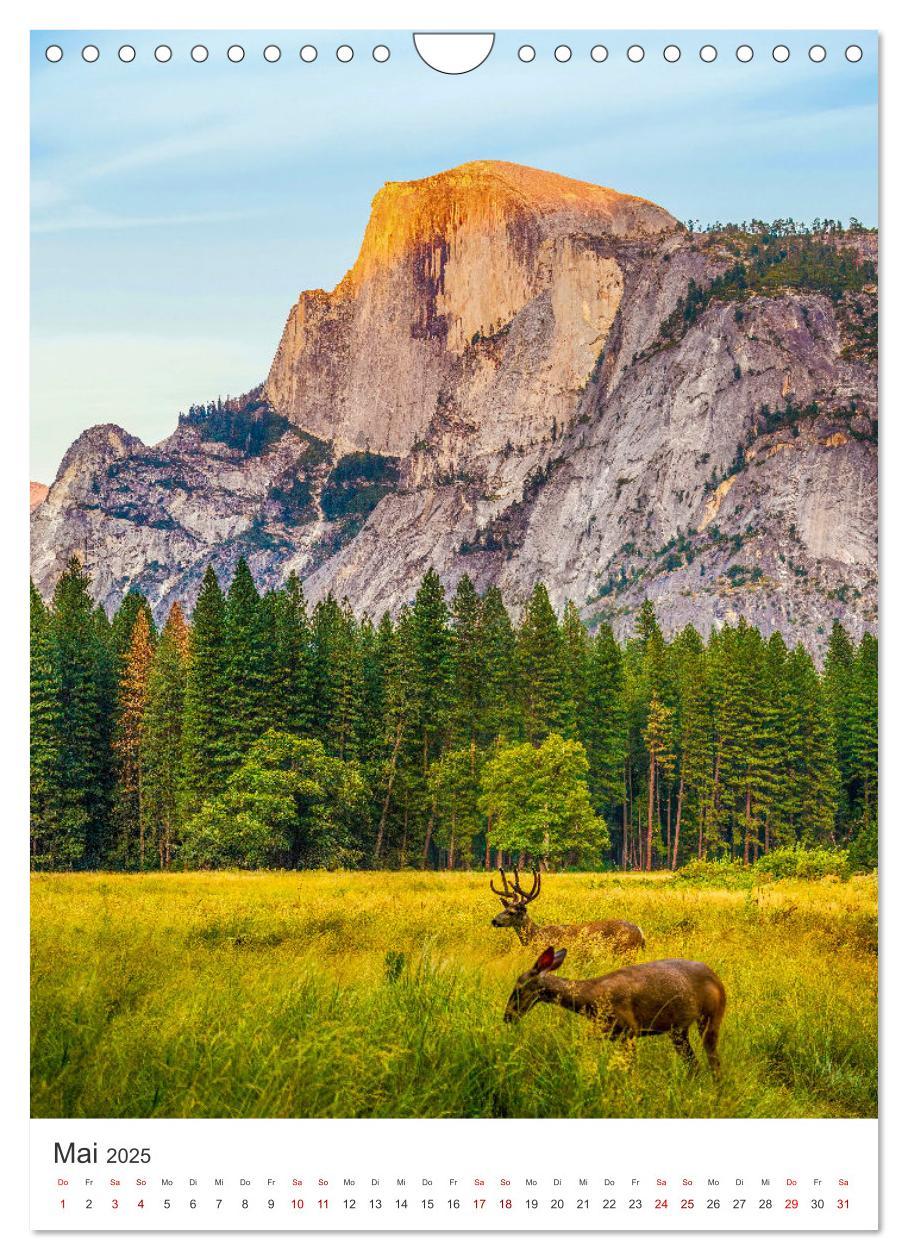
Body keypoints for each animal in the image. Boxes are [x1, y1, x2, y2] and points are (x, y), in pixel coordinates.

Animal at [488, 866, 644, 952]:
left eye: (512, 912)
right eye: (504, 908)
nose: (494, 921)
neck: (535, 936)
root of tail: (641, 933)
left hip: (626, 951)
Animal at [503, 947, 720, 1073]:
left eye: (518, 988)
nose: (507, 1017)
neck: (591, 999)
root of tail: (717, 979)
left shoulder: (630, 1029)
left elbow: (629, 1069)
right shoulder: (605, 1031)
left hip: (711, 1017)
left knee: (713, 1062)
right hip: (678, 1031)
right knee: (695, 1065)